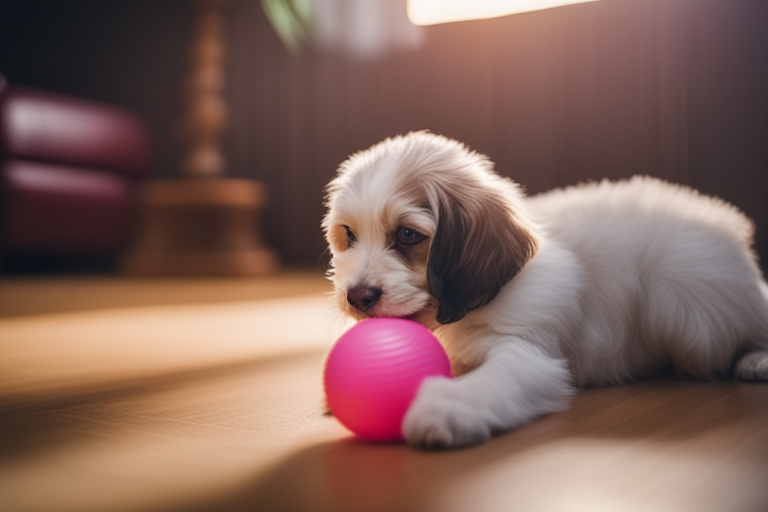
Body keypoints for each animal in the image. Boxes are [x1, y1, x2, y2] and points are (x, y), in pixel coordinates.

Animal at [322, 132, 768, 448]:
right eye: (349, 234)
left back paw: (756, 360)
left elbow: (492, 380)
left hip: (684, 299)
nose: (357, 297)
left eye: (408, 235)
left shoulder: (527, 351)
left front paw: (447, 407)